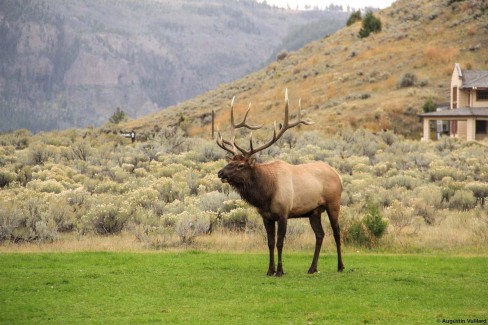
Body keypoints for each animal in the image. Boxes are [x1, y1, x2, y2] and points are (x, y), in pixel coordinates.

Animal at [215, 89, 346, 276]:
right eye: (230, 161)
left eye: (240, 165)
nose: (220, 173)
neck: (266, 194)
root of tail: (338, 175)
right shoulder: (266, 216)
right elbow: (270, 243)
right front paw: (270, 270)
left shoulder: (284, 212)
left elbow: (280, 243)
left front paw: (280, 271)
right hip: (314, 211)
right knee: (320, 235)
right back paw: (312, 268)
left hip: (333, 203)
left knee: (336, 232)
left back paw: (340, 266)